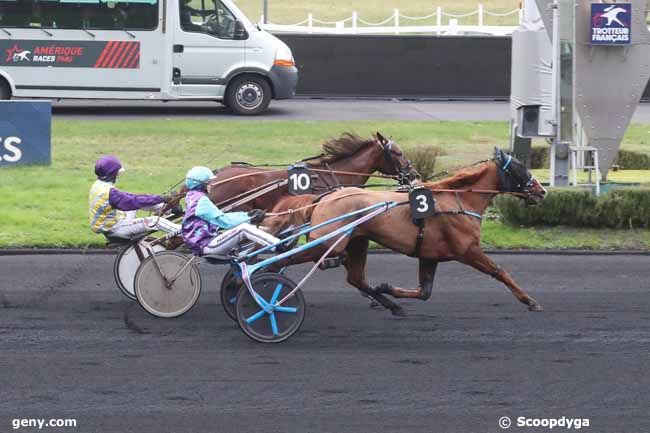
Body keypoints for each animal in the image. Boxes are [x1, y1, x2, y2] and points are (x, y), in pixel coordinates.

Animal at [266, 148, 544, 314]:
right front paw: (530, 301)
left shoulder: (430, 255)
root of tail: (323, 198)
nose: (541, 191)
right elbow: (500, 272)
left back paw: (389, 303)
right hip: (328, 243)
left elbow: (424, 292)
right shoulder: (468, 250)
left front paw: (386, 288)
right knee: (284, 260)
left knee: (356, 278)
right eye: (520, 169)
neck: (459, 200)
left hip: (357, 241)